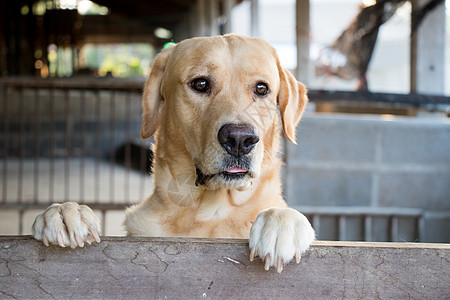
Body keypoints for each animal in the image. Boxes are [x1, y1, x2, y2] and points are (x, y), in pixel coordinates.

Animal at [32, 34, 312, 272]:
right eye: (200, 83)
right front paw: (65, 212)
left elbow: (280, 213)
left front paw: (280, 222)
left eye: (262, 88)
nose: (240, 139)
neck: (210, 212)